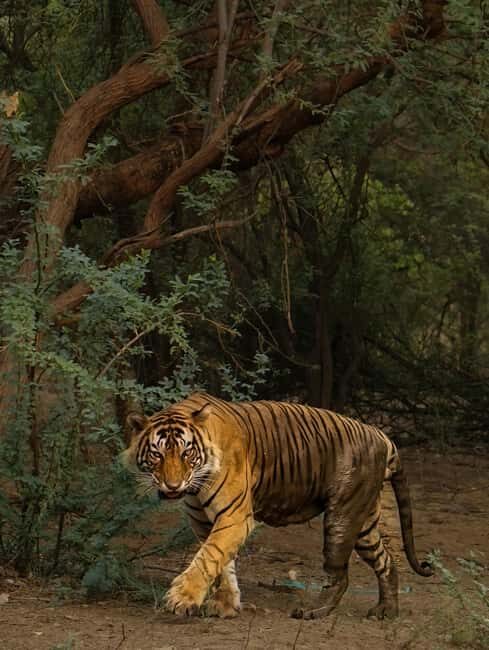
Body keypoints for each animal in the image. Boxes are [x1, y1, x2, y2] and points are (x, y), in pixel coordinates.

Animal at [122, 392, 432, 620]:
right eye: (157, 455)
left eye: (187, 453)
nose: (173, 486)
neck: (196, 484)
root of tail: (381, 434)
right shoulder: (202, 521)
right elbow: (222, 562)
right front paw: (226, 605)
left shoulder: (234, 516)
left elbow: (209, 556)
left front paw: (182, 598)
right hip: (364, 521)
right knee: (387, 560)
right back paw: (386, 611)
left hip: (342, 516)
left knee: (339, 573)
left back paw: (313, 611)